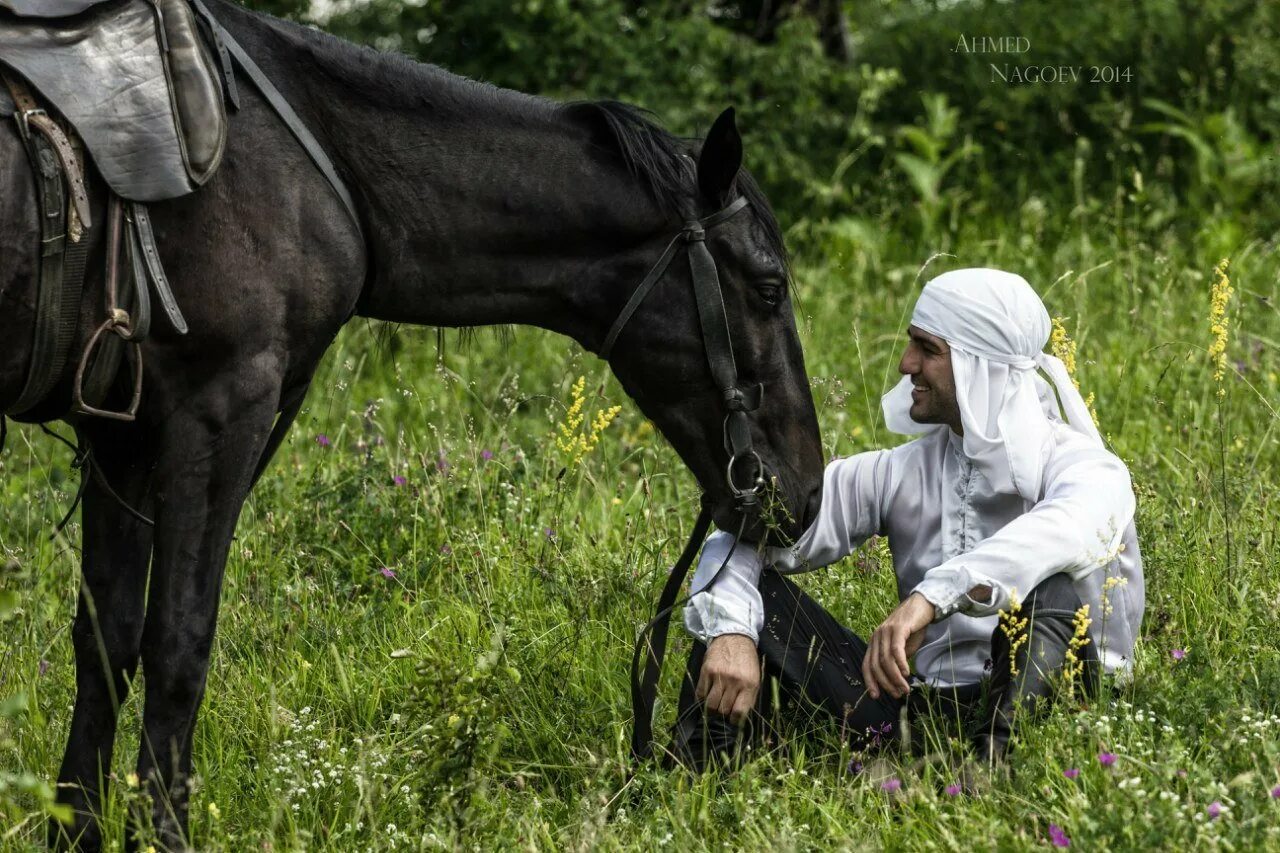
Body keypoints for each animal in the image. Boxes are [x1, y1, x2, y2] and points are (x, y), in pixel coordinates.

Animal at [2, 3, 819, 845]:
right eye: (768, 287)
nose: (803, 494)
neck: (301, 165)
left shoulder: (122, 439)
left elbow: (106, 643)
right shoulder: (216, 413)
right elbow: (177, 645)